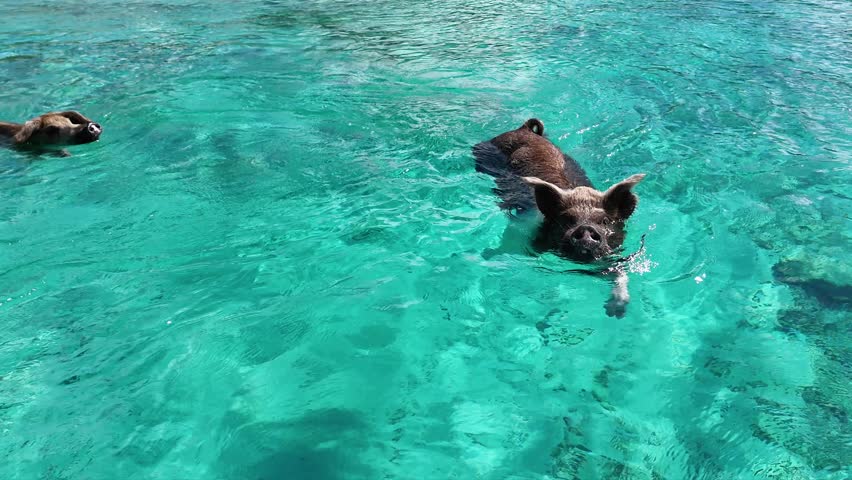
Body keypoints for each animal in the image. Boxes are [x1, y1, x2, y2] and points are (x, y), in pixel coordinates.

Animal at [473, 118, 646, 317]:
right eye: (566, 219)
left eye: (605, 221)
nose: (586, 229)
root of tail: (524, 129)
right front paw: (487, 255)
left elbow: (620, 273)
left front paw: (616, 311)